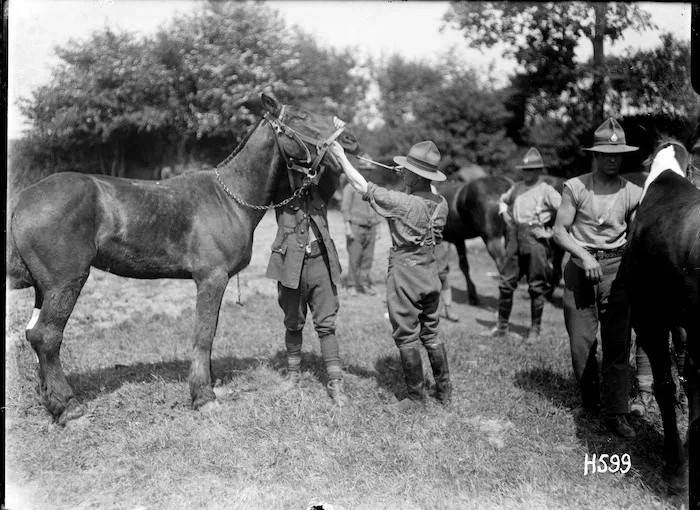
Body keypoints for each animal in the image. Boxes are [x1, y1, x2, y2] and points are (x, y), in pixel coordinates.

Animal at [7, 93, 360, 425]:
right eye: (300, 116)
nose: (350, 140)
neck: (230, 199)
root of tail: (23, 199)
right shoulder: (211, 278)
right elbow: (204, 334)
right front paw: (203, 396)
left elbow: (209, 332)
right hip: (65, 283)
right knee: (46, 336)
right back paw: (68, 408)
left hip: (44, 289)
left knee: (34, 334)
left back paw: (52, 402)